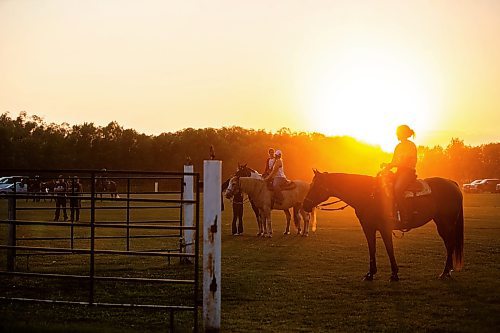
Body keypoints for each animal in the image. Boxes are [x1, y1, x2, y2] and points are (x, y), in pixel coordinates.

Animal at [300, 170, 464, 282]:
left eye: (316, 186)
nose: (305, 205)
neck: (369, 194)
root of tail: (452, 183)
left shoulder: (385, 228)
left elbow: (389, 249)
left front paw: (394, 274)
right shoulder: (368, 228)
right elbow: (372, 248)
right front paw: (370, 273)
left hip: (446, 223)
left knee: (450, 244)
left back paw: (445, 272)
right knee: (449, 244)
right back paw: (448, 270)